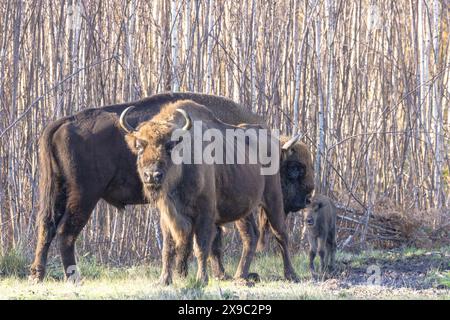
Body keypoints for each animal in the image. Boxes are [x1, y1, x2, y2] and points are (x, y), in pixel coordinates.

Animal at [119, 100, 298, 284]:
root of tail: (273, 141)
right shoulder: (167, 216)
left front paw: (201, 279)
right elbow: (169, 248)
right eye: (139, 146)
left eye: (170, 146)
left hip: (273, 198)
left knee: (280, 234)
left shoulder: (204, 214)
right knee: (251, 236)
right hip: (244, 210)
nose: (152, 175)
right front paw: (164, 280)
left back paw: (291, 275)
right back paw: (240, 276)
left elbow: (201, 246)